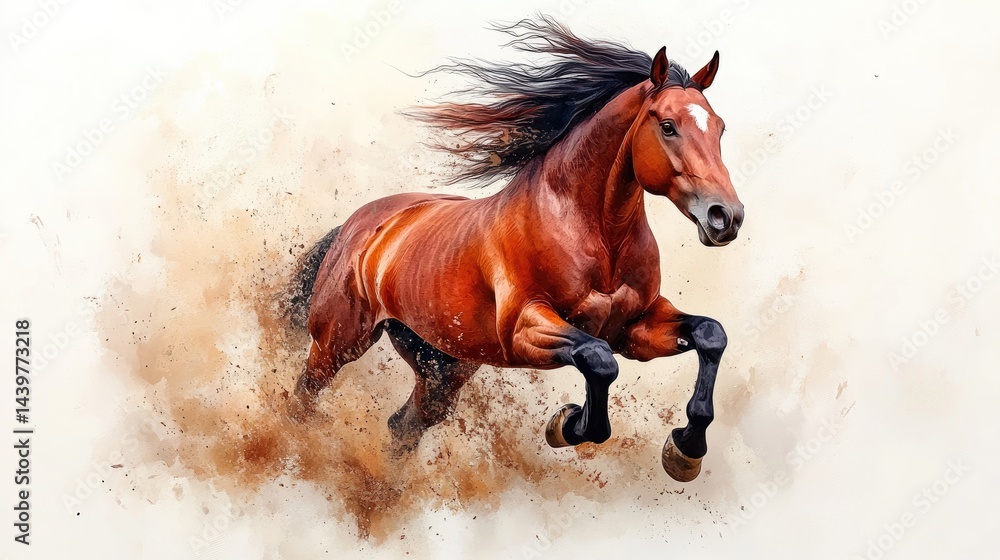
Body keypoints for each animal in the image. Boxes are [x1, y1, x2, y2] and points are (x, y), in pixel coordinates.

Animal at [286, 17, 744, 482]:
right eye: (668, 125)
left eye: (720, 128)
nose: (726, 217)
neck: (597, 236)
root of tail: (360, 225)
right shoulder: (525, 328)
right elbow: (598, 360)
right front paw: (566, 424)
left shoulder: (634, 328)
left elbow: (711, 334)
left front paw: (685, 450)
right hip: (338, 342)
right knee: (303, 399)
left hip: (443, 367)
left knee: (404, 425)